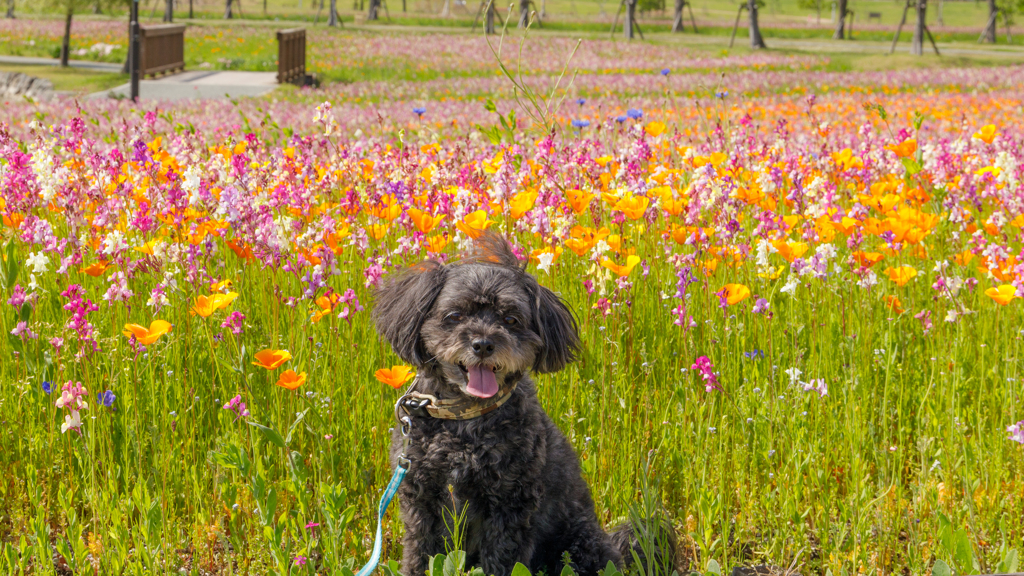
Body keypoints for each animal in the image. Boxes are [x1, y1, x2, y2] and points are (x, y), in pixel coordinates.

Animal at [372, 231, 675, 573]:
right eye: (454, 316)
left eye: (511, 319)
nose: (483, 344)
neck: (466, 418)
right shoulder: (421, 500)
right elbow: (421, 554)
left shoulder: (510, 503)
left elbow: (501, 559)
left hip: (580, 543)